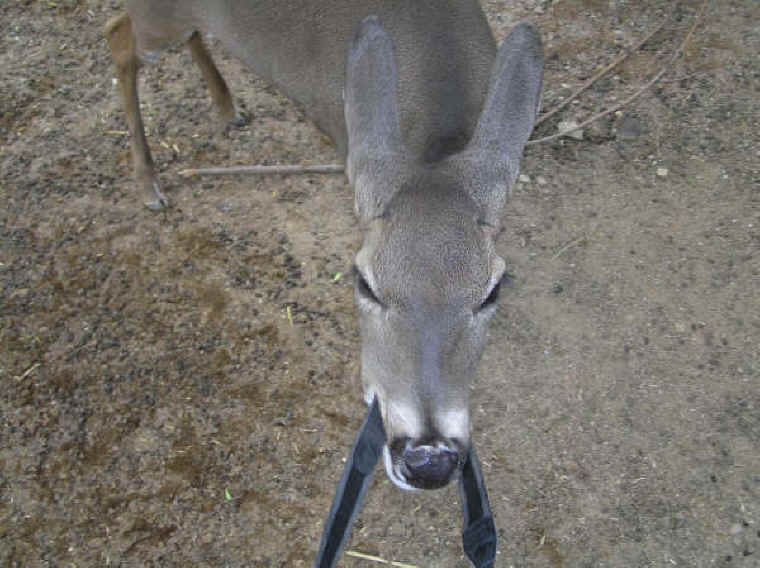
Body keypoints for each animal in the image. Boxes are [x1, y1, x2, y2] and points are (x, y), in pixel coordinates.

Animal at [105, 1, 543, 491]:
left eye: (493, 291)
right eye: (365, 283)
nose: (429, 460)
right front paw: (372, 387)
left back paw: (227, 106)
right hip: (156, 22)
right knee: (117, 37)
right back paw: (149, 183)